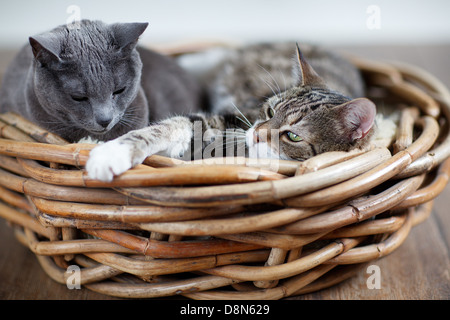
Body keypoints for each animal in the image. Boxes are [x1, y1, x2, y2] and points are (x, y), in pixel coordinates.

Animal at [85, 42, 376, 181]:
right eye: (270, 111)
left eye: (293, 136)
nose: (256, 133)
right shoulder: (228, 118)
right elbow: (169, 126)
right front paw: (112, 153)